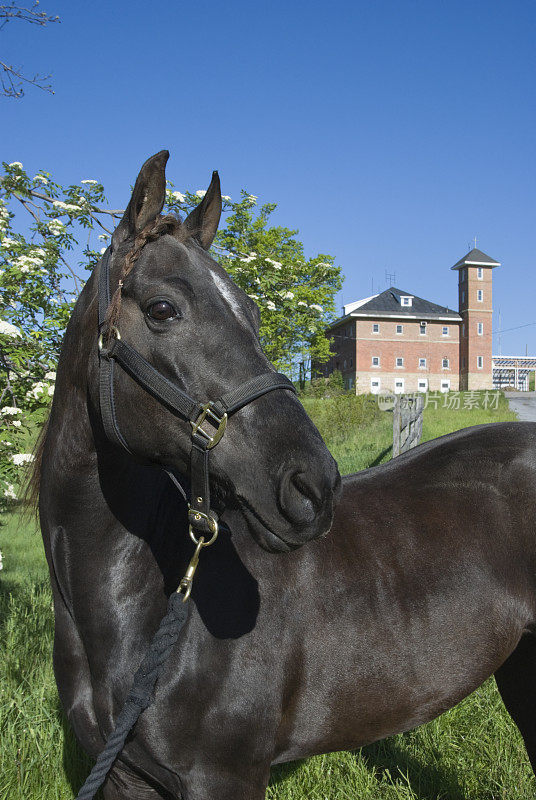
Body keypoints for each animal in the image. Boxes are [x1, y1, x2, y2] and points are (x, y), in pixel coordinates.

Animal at [36, 153, 536, 796]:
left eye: (251, 312)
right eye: (162, 309)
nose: (313, 485)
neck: (138, 611)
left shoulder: (225, 776)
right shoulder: (126, 778)